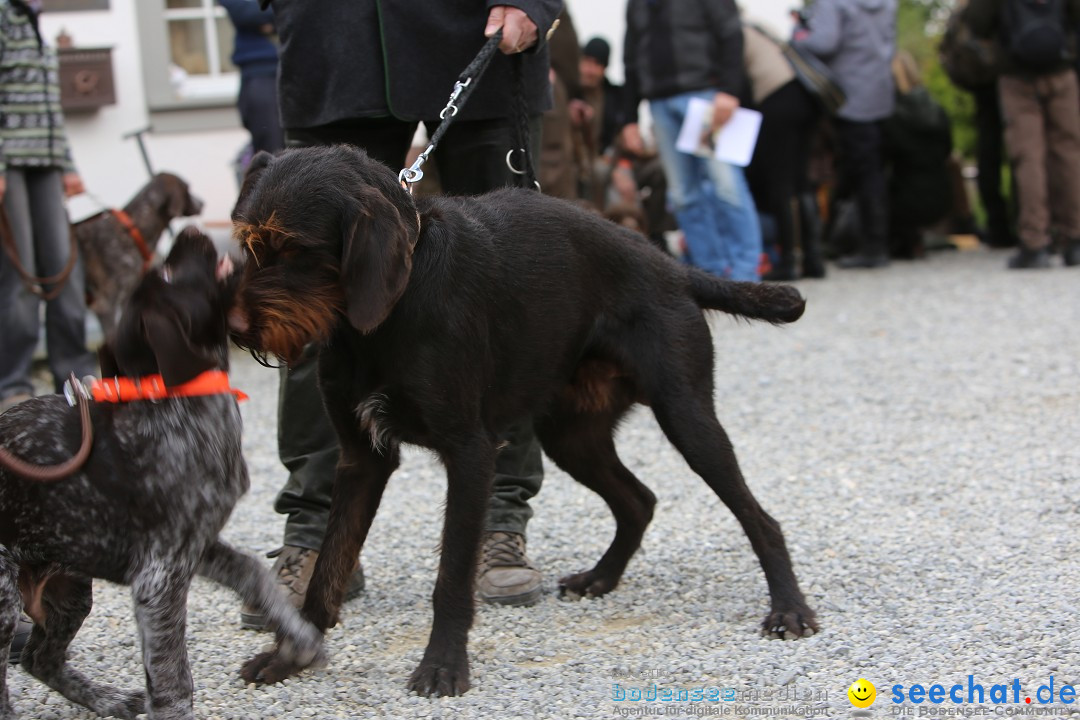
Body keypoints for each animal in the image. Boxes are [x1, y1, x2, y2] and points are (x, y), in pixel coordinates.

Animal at [227, 144, 816, 699]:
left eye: (296, 250)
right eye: (249, 244)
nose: (232, 329)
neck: (392, 306)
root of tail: (672, 267)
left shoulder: (470, 453)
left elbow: (452, 575)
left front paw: (443, 664)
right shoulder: (361, 460)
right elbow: (330, 562)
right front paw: (291, 655)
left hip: (688, 418)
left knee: (760, 520)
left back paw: (789, 608)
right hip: (572, 437)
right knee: (638, 500)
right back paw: (602, 577)